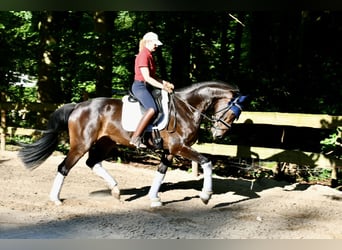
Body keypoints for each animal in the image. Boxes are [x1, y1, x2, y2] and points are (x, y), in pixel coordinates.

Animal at [18, 80, 246, 207]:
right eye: (232, 111)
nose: (219, 134)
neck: (186, 108)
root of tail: (78, 106)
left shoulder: (170, 151)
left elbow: (161, 172)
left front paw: (154, 199)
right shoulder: (179, 148)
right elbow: (206, 162)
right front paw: (206, 196)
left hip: (106, 143)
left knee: (92, 163)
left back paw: (115, 190)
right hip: (81, 144)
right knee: (64, 167)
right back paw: (55, 199)